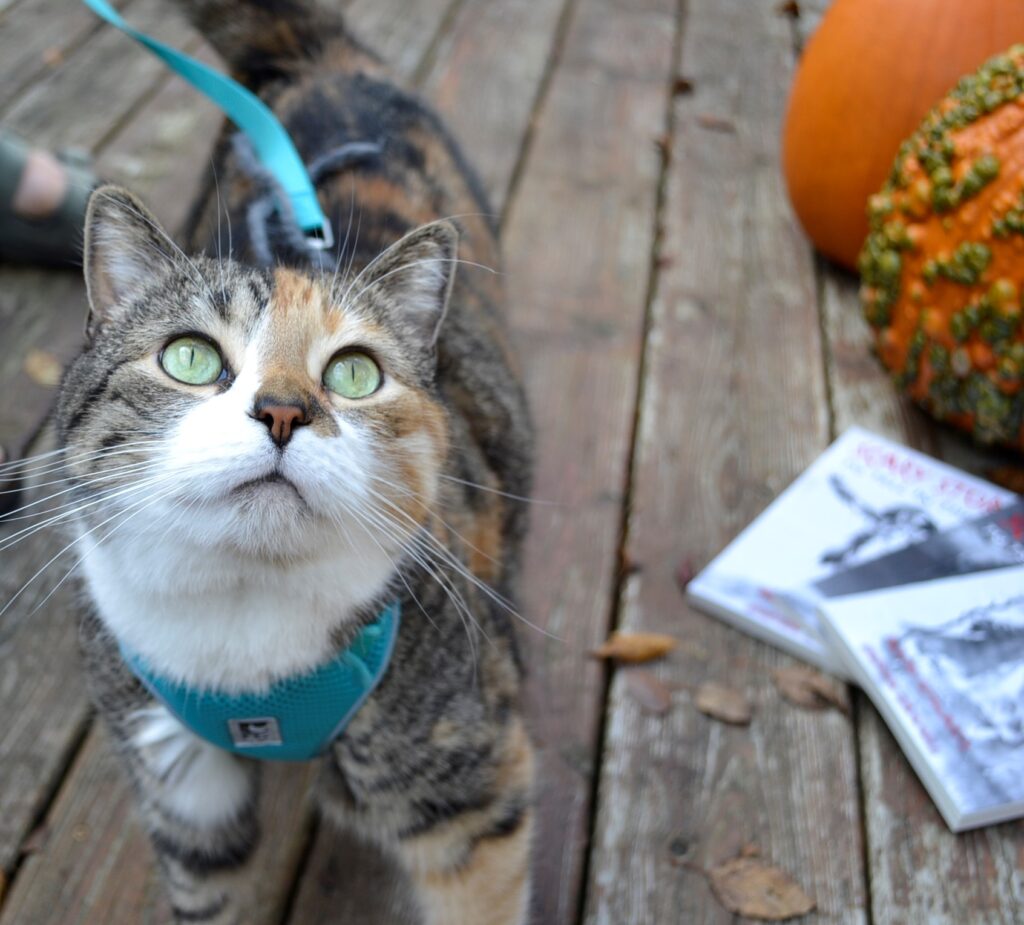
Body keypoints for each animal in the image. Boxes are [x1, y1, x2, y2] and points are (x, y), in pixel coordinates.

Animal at [56, 3, 536, 921]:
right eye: (190, 357)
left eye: (354, 373)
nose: (284, 410)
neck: (247, 628)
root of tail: (324, 58)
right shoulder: (179, 784)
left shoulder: (469, 788)